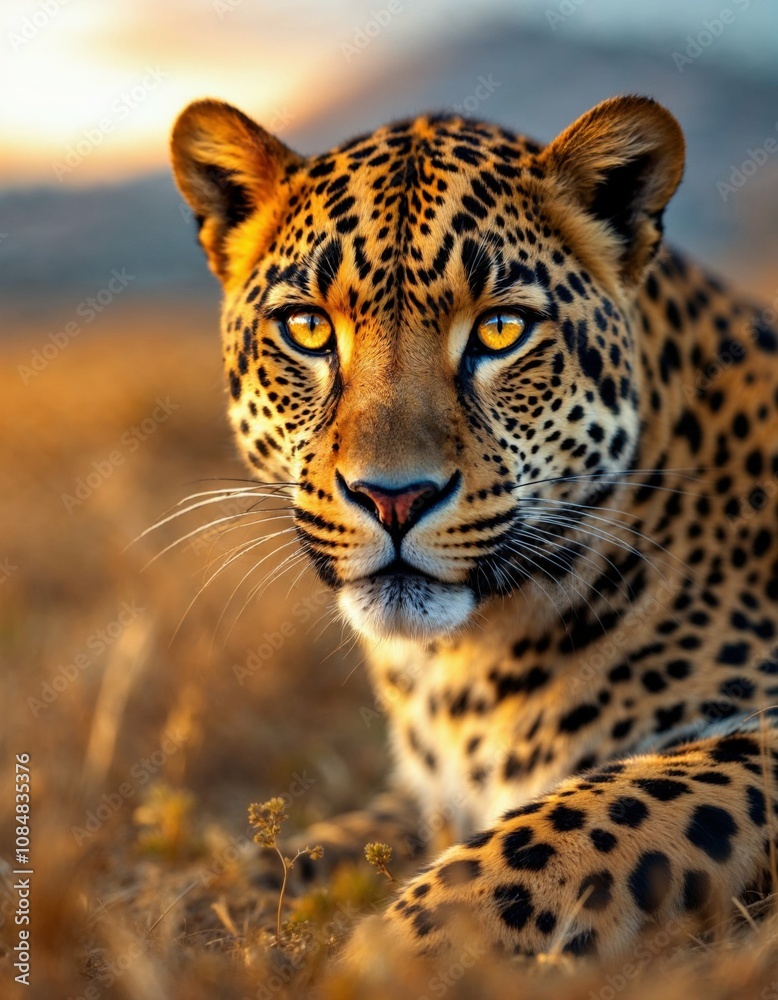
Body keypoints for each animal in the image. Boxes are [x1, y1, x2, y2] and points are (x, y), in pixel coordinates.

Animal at [170, 94, 778, 963]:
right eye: (308, 329)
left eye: (500, 330)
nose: (394, 498)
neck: (462, 669)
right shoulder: (422, 796)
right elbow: (316, 842)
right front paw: (188, 901)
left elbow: (576, 824)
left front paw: (392, 953)